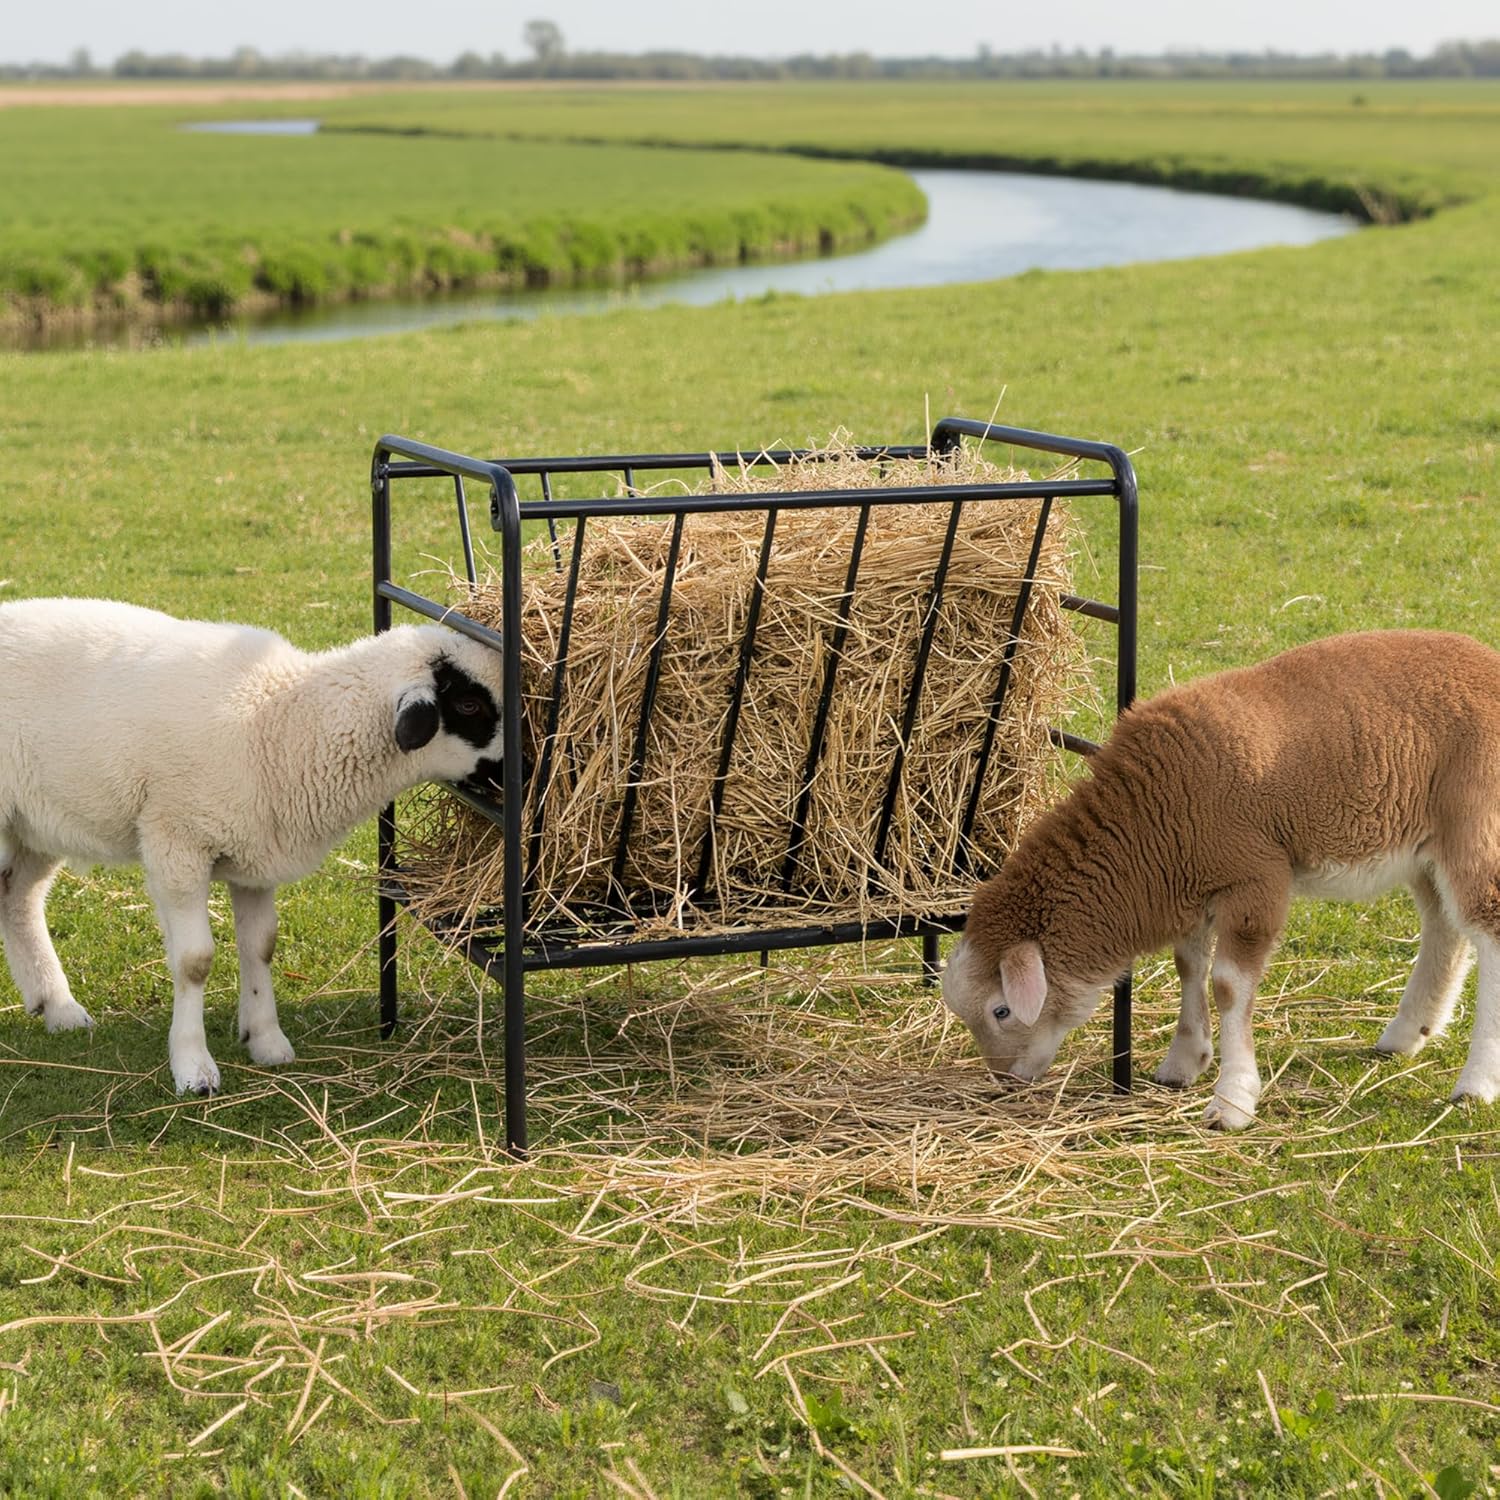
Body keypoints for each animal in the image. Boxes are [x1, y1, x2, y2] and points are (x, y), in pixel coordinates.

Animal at [0, 596, 506, 1095]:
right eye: (468, 704)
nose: (520, 770)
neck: (281, 721)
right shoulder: (176, 842)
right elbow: (195, 961)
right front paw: (193, 1067)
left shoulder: (255, 852)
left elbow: (261, 946)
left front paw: (265, 1040)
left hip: (34, 823)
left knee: (18, 898)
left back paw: (58, 1008)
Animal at [943, 629, 1500, 1129]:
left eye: (1001, 1011)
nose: (1005, 1081)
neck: (1147, 823)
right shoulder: (1193, 881)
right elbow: (1188, 965)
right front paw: (1184, 1062)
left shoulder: (1255, 879)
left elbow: (1228, 985)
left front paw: (1232, 1100)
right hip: (1427, 845)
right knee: (1445, 928)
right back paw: (1406, 1034)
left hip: (1477, 823)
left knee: (1487, 928)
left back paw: (1475, 1085)